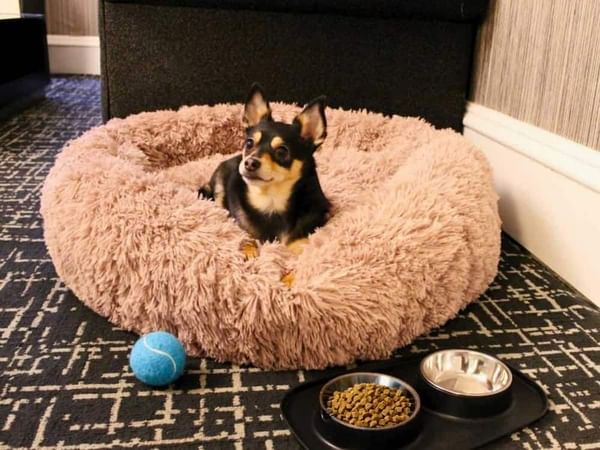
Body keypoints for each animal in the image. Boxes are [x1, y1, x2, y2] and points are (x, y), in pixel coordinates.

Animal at [199, 84, 330, 264]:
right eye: (249, 143)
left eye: (282, 151)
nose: (249, 162)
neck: (270, 201)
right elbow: (247, 236)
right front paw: (248, 249)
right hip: (219, 184)